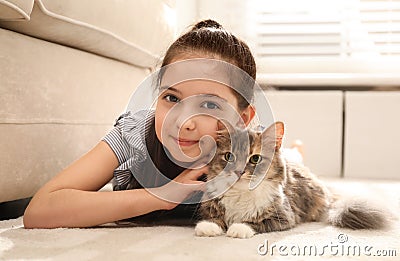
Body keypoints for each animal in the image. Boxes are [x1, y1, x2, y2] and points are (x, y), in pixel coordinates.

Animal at [195, 121, 392, 237]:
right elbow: (215, 218)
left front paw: (237, 229)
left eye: (255, 159)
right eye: (229, 157)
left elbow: (254, 222)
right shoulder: (210, 208)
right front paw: (208, 227)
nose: (238, 172)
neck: (241, 194)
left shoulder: (284, 216)